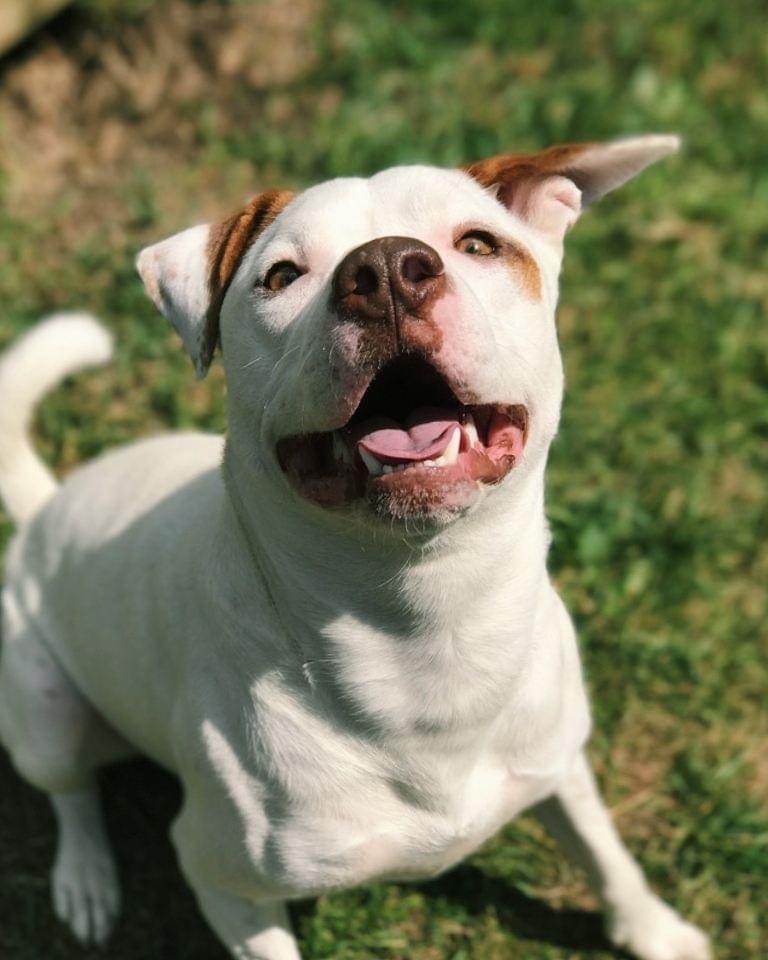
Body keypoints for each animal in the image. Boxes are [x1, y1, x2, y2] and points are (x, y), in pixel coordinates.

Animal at [0, 137, 712, 960]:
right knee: (72, 793)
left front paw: (654, 930)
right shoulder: (222, 880)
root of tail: (45, 508)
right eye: (281, 276)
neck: (426, 628)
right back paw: (85, 877)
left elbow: (604, 852)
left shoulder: (558, 760)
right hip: (43, 712)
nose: (386, 269)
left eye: (478, 243)